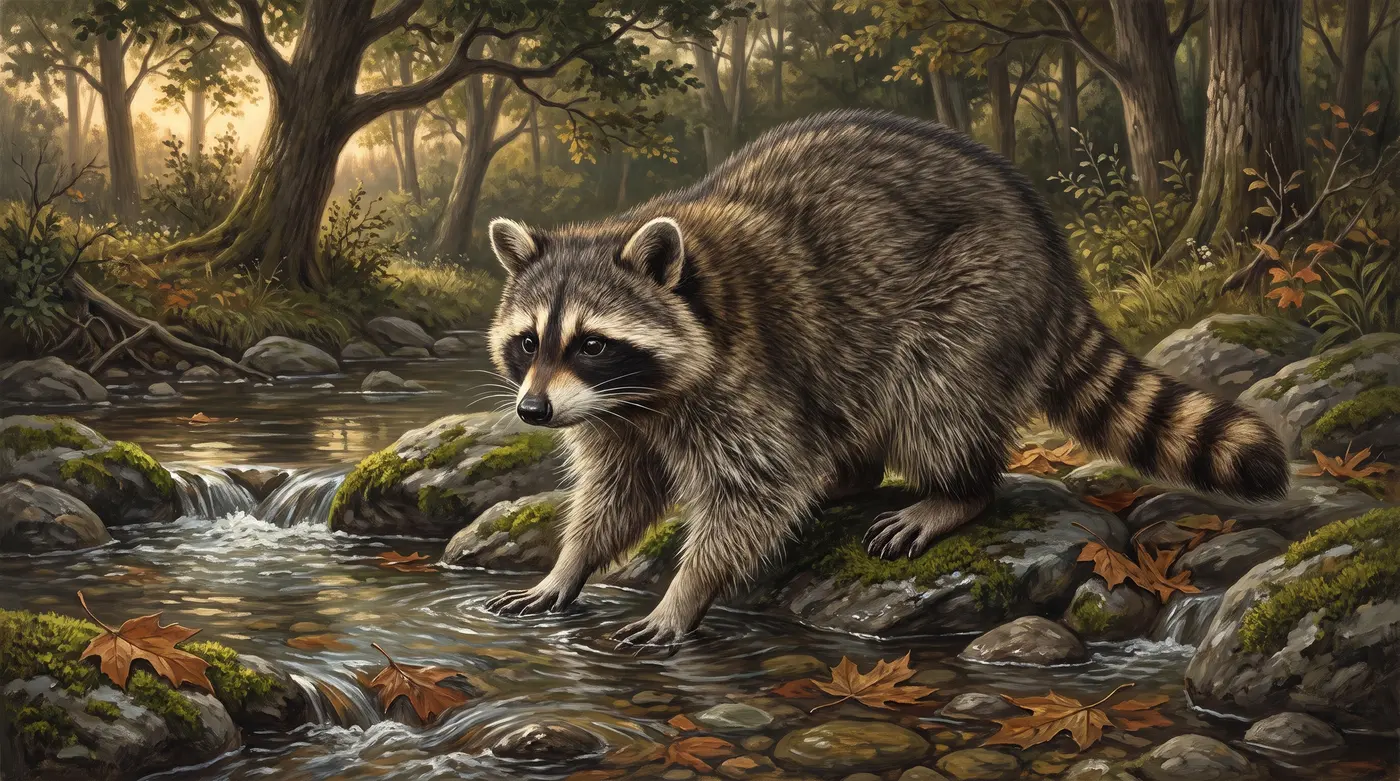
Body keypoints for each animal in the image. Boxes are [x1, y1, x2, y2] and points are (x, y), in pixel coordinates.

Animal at [482, 109, 1288, 645]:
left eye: (592, 343)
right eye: (528, 342)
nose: (532, 412)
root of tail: (1056, 261)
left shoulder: (747, 376)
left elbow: (752, 494)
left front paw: (685, 592)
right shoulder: (614, 417)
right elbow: (617, 494)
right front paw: (570, 564)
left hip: (978, 299)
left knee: (937, 395)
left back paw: (956, 492)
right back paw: (850, 475)